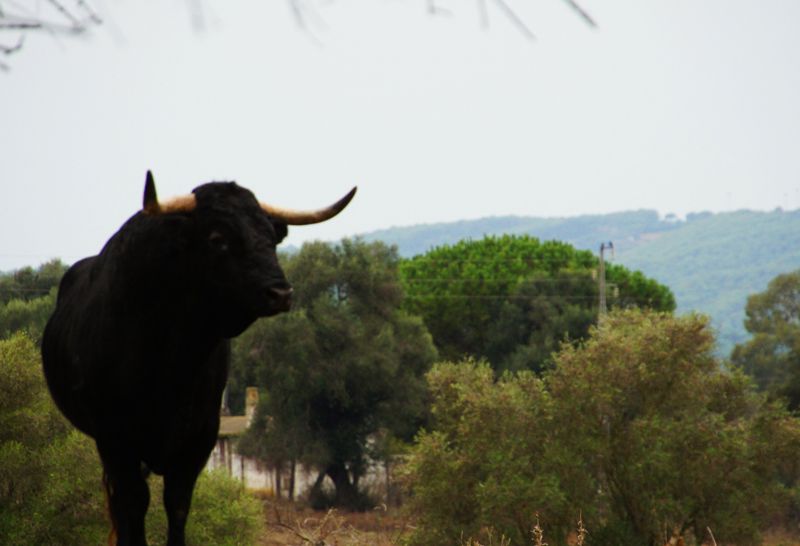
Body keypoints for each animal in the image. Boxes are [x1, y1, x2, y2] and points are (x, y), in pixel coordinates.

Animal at [42, 173, 354, 544]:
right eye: (218, 238)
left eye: (271, 236)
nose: (280, 292)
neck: (171, 358)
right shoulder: (116, 438)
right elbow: (134, 506)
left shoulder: (198, 439)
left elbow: (177, 505)